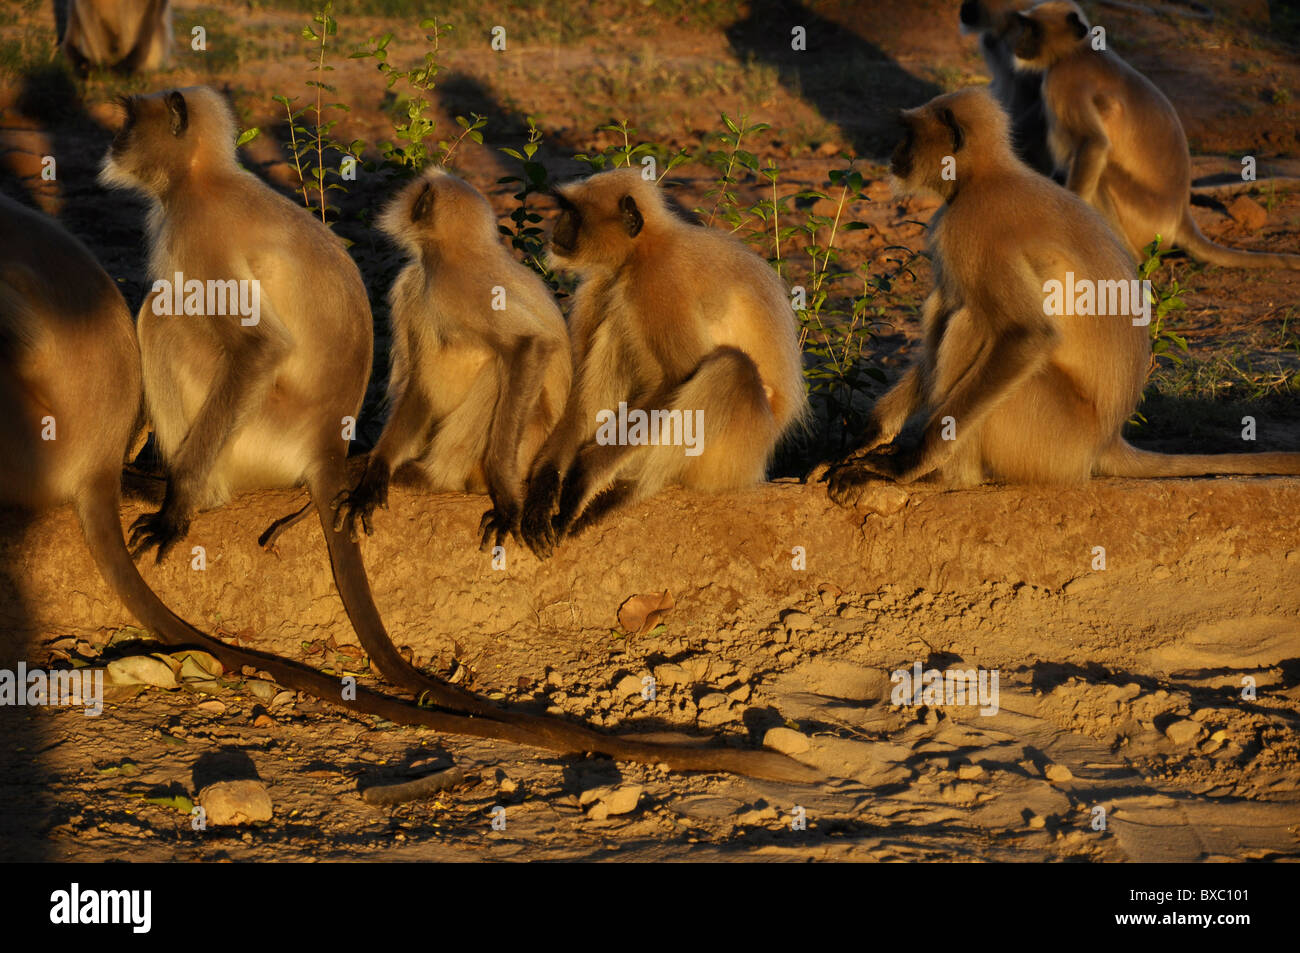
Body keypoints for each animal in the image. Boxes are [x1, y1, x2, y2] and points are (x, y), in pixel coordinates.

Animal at [330, 169, 569, 551]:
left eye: (423, 192)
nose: (408, 192)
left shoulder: (458, 282)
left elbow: (530, 345)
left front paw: (507, 501)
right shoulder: (411, 284)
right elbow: (417, 380)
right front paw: (374, 474)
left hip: (531, 438)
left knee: (499, 370)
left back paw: (435, 477)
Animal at [821, 87, 1300, 504]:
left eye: (910, 135)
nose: (894, 155)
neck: (984, 178)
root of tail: (1104, 442)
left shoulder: (970, 225)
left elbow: (1027, 334)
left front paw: (904, 465)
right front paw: (867, 441)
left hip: (1047, 435)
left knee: (972, 319)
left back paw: (946, 478)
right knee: (953, 309)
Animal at [1013, 1, 1300, 269]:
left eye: (1032, 30)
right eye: (1024, 28)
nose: (1018, 43)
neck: (1079, 51)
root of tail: (1181, 215)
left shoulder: (1065, 81)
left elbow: (1094, 144)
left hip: (1145, 222)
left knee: (1103, 174)